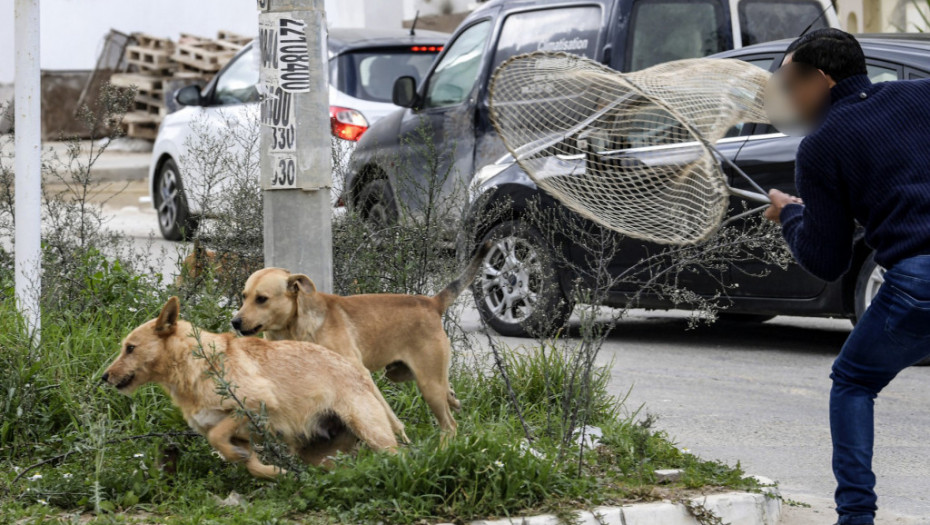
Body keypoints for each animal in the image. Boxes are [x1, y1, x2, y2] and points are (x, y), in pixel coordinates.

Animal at [101, 296, 402, 476]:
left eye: (130, 348)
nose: (104, 377)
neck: (195, 364)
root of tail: (359, 373)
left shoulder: (256, 404)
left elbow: (218, 436)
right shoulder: (242, 436)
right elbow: (249, 462)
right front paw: (277, 474)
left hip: (372, 432)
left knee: (400, 456)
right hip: (323, 454)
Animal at [232, 244, 492, 436]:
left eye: (262, 299)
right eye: (244, 296)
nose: (235, 321)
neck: (295, 327)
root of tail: (432, 302)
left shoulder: (359, 373)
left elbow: (386, 415)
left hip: (428, 385)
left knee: (449, 425)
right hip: (405, 374)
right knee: (447, 392)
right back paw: (453, 400)